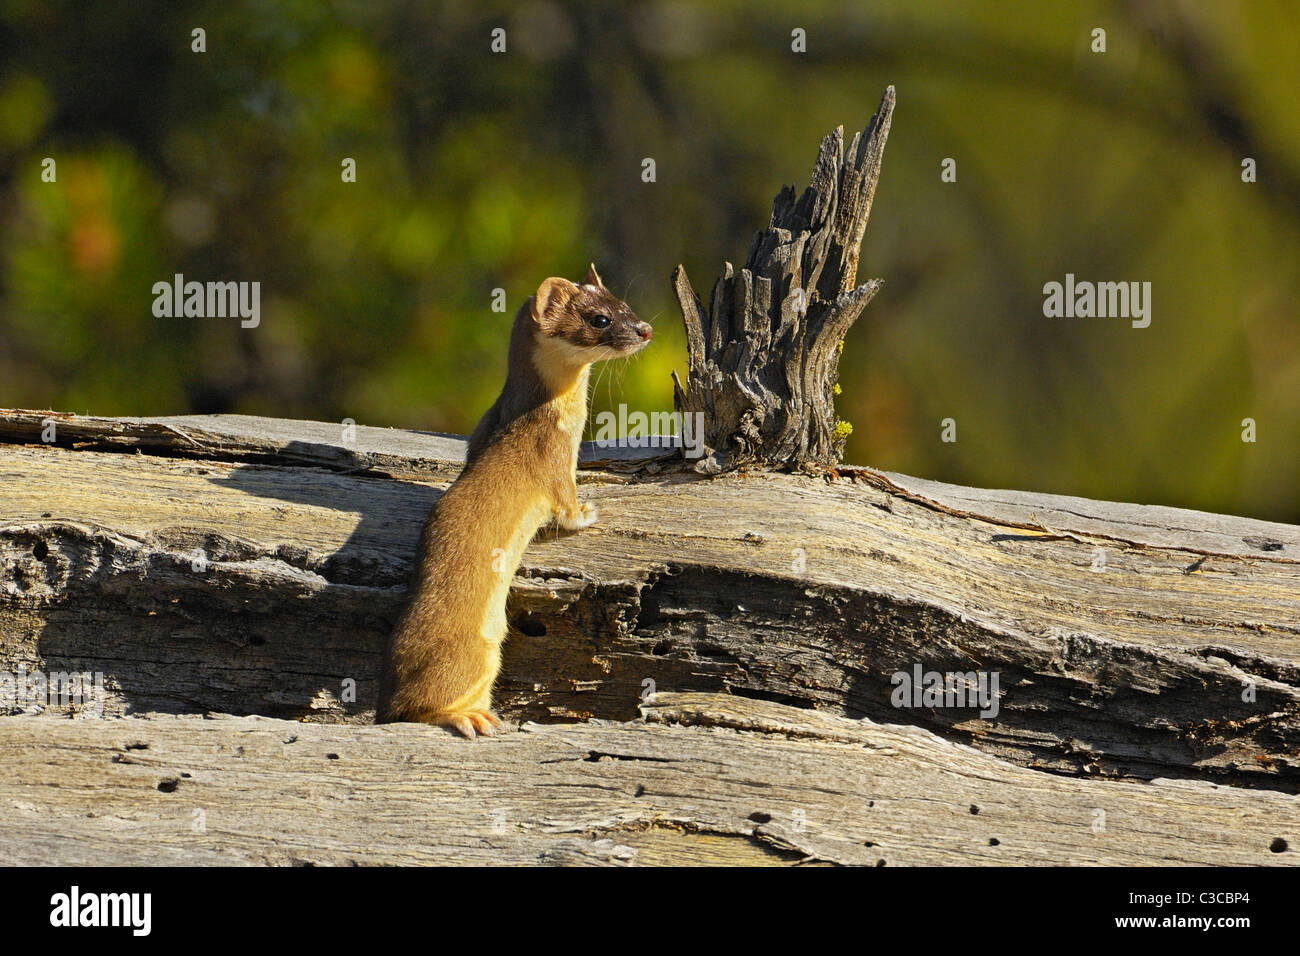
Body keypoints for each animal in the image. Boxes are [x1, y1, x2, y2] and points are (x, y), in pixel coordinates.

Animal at [377, 265, 650, 738]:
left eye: (625, 304)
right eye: (599, 319)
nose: (646, 329)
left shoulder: (484, 426)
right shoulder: (554, 456)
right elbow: (566, 506)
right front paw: (590, 512)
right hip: (474, 652)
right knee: (418, 706)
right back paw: (470, 717)